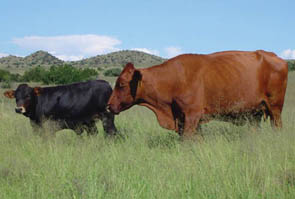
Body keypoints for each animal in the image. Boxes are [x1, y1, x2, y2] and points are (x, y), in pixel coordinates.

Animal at [107, 50, 288, 138]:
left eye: (121, 84)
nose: (108, 105)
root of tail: (274, 56)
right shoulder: (183, 118)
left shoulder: (192, 116)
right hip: (254, 114)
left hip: (275, 109)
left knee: (278, 127)